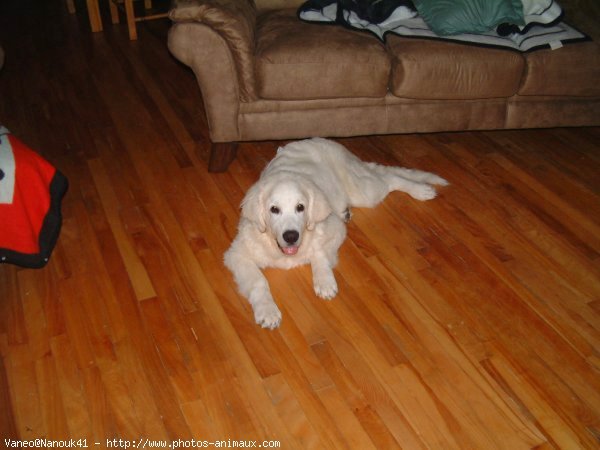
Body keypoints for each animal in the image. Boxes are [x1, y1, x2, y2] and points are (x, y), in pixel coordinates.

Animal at [224, 137, 446, 326]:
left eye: (300, 207)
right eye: (274, 209)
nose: (291, 236)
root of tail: (319, 139)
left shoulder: (337, 229)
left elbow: (319, 252)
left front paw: (324, 281)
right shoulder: (237, 254)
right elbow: (258, 281)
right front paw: (267, 311)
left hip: (363, 190)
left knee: (389, 178)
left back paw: (422, 190)